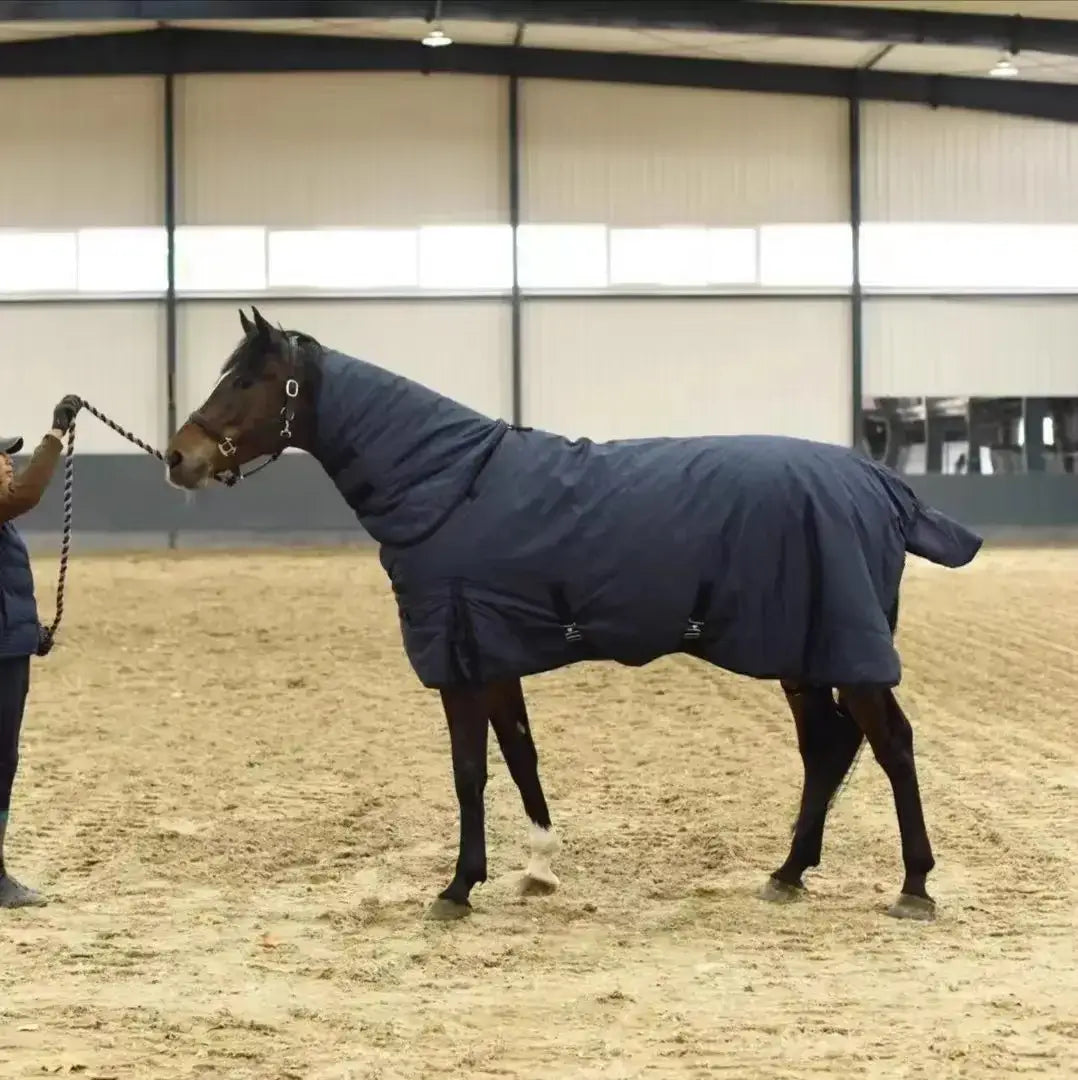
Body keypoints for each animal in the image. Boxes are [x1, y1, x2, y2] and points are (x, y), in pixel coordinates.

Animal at [164, 306, 983, 924]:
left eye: (248, 380)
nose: (178, 457)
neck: (450, 483)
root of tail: (880, 483)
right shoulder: (491, 653)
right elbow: (520, 755)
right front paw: (539, 868)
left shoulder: (459, 661)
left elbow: (469, 771)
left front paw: (457, 888)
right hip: (803, 652)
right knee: (829, 748)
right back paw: (787, 873)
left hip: (845, 653)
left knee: (891, 745)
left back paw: (913, 886)